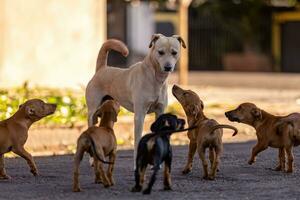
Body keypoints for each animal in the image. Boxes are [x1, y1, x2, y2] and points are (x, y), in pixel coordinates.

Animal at [85, 33, 186, 166]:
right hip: (92, 112)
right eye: (160, 52)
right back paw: (92, 159)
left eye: (174, 52)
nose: (168, 67)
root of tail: (101, 69)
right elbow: (137, 141)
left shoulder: (160, 112)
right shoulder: (139, 115)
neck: (155, 78)